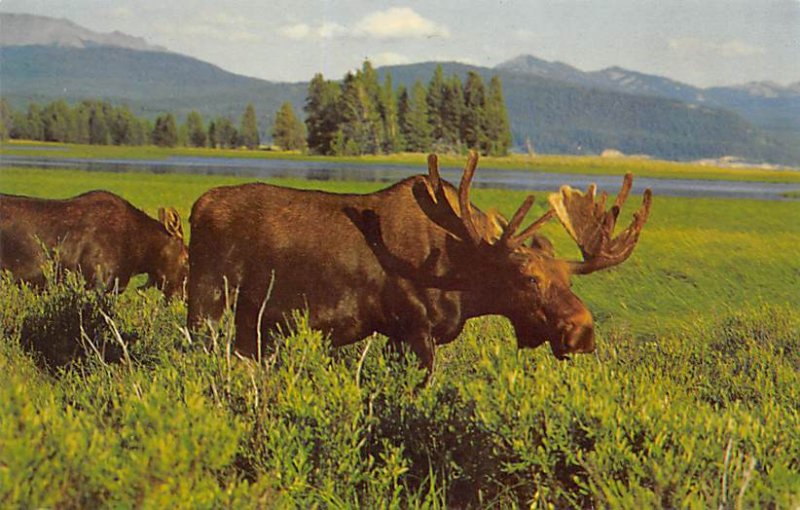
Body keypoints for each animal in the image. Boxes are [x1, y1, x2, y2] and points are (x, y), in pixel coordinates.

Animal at [191, 152, 652, 370]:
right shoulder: (413, 327)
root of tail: (197, 207)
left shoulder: (397, 334)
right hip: (208, 298)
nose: (582, 332)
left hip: (252, 319)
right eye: (528, 278)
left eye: (570, 281)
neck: (464, 284)